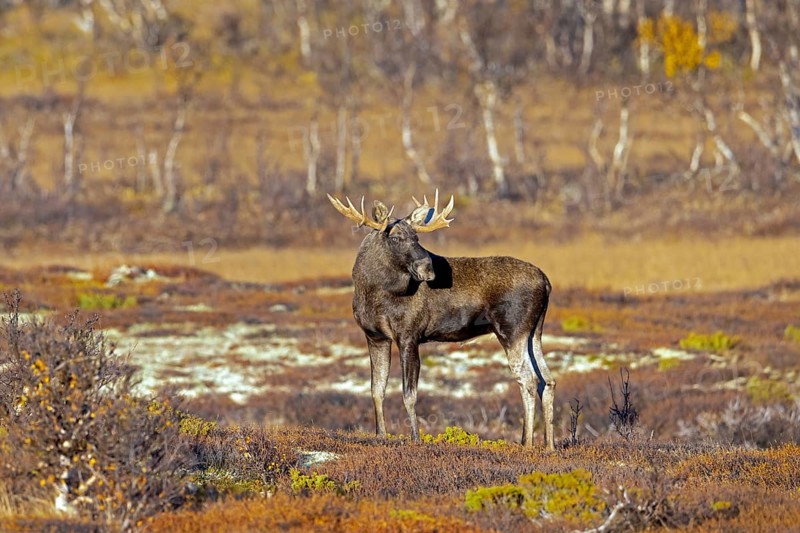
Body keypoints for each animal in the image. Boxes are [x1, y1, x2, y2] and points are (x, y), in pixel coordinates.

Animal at [327, 191, 555, 450]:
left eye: (417, 237)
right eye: (395, 238)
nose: (427, 268)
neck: (370, 291)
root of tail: (546, 283)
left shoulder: (409, 335)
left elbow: (409, 393)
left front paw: (415, 438)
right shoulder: (375, 336)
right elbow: (376, 389)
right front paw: (380, 435)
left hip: (512, 330)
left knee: (527, 380)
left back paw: (527, 444)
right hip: (533, 332)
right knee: (547, 380)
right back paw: (548, 446)